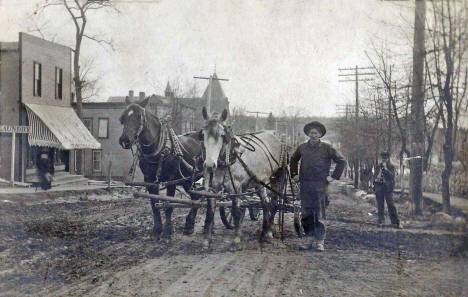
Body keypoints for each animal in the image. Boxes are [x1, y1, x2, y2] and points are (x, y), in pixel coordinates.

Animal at [118, 96, 204, 239]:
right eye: (123, 117)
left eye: (139, 116)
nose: (125, 140)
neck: (159, 149)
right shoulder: (150, 180)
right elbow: (154, 204)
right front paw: (156, 230)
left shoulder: (171, 180)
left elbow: (169, 205)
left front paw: (167, 231)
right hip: (187, 180)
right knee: (196, 199)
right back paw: (189, 225)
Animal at [199, 106, 284, 247]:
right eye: (203, 134)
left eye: (222, 135)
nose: (210, 165)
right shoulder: (213, 188)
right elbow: (210, 211)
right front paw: (206, 240)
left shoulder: (236, 188)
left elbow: (235, 211)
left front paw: (236, 239)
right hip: (259, 183)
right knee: (265, 203)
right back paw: (266, 232)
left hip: (276, 179)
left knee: (273, 203)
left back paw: (269, 231)